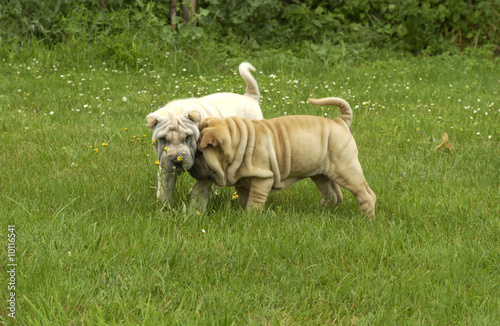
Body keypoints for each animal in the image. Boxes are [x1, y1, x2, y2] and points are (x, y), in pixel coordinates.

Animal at [190, 97, 376, 219]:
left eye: (199, 153)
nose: (190, 166)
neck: (238, 141)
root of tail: (340, 121)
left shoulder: (262, 178)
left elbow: (255, 200)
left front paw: (250, 217)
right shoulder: (242, 180)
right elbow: (243, 198)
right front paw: (242, 213)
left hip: (346, 169)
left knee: (366, 194)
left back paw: (367, 220)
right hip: (321, 174)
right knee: (333, 194)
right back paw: (322, 212)